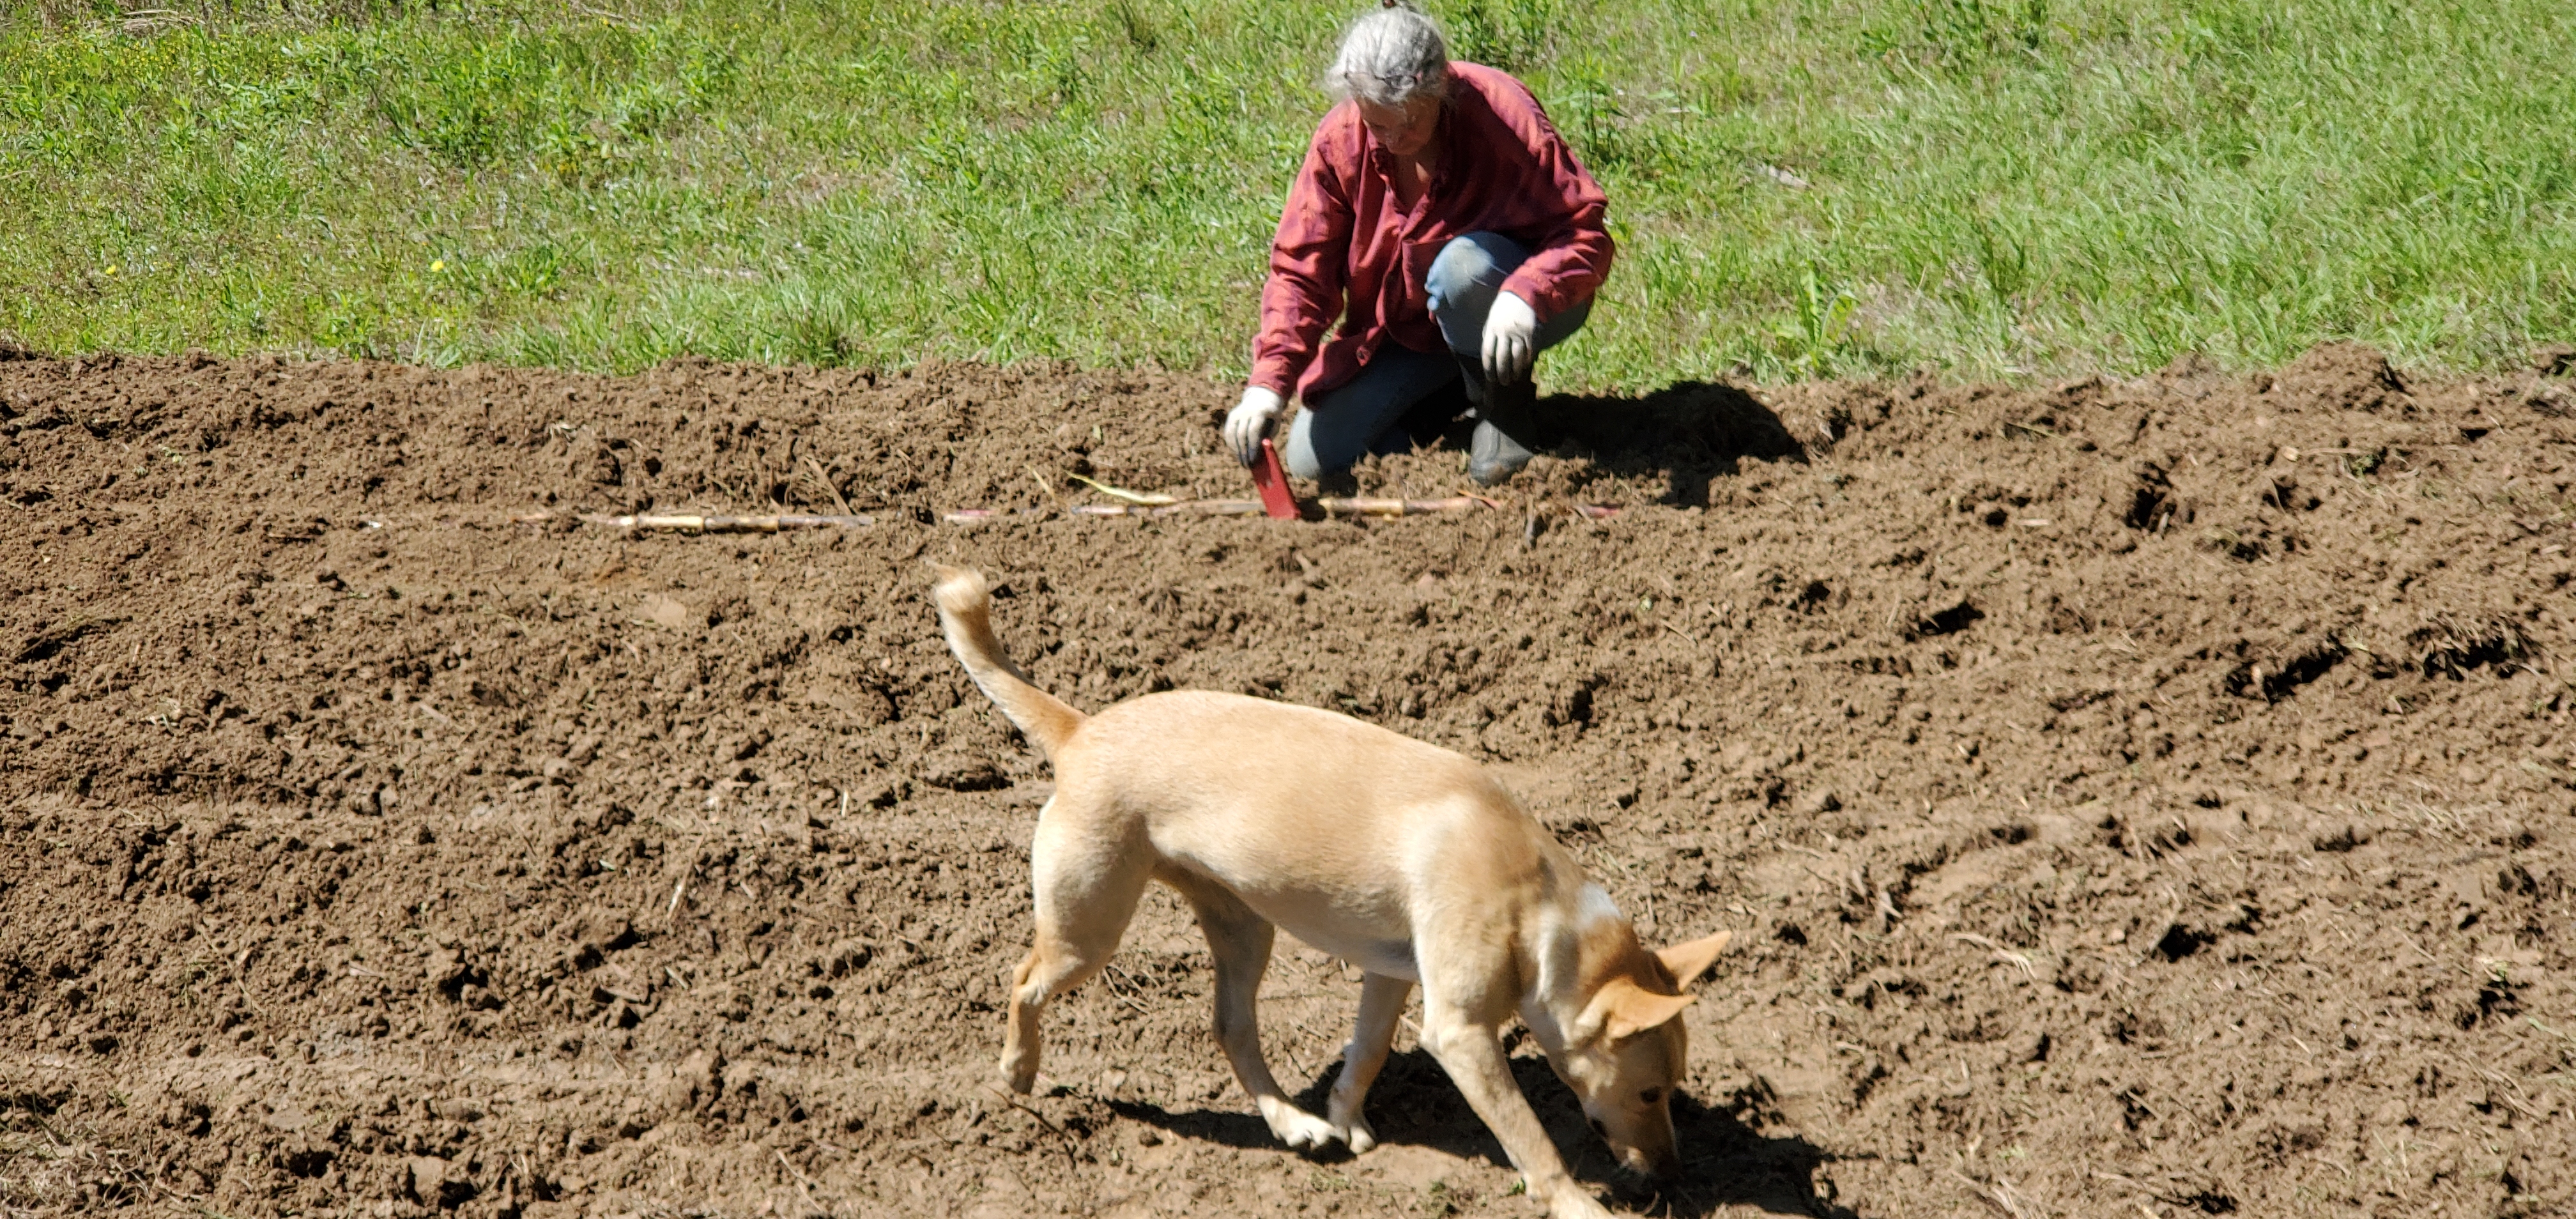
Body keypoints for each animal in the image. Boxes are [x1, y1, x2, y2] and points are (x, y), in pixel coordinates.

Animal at [927, 569, 1731, 1216]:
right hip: (1088, 927)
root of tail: (1081, 730)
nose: (1671, 1173)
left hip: (1244, 929)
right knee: (1024, 980)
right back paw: (1017, 1072)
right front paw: (1573, 1203)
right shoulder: (1460, 1033)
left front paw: (1345, 1116)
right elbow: (1529, 1137)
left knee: (1231, 1027)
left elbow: (1368, 1049)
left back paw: (1294, 1123)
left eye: (1675, 1088)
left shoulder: (1391, 971)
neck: (1540, 902)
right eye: (1651, 1092)